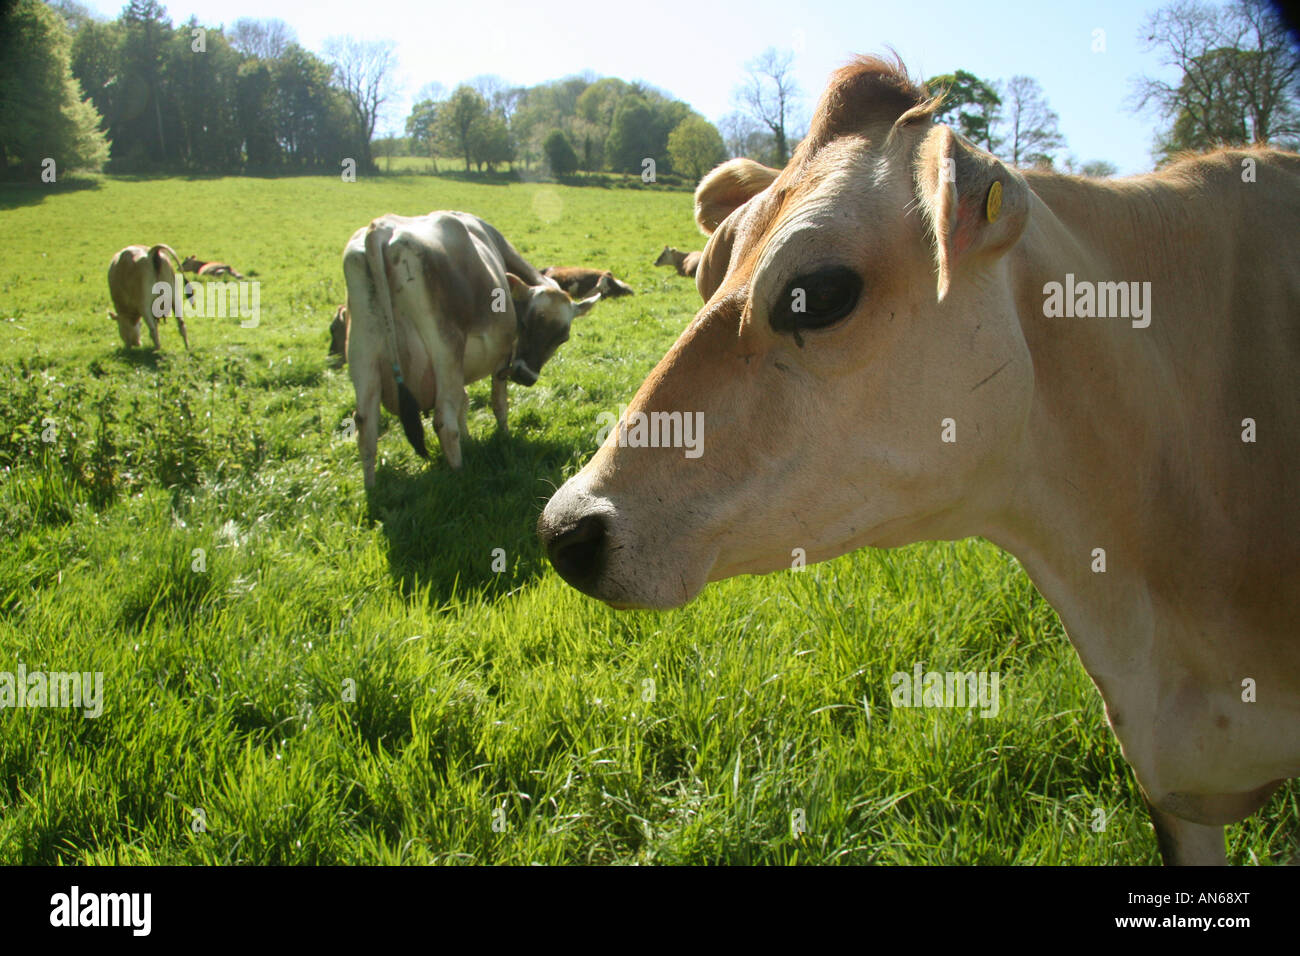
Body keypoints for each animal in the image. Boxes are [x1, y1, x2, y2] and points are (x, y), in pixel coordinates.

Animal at [338, 210, 595, 486]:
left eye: (562, 338)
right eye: (525, 323)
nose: (525, 376)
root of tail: (381, 228)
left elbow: (464, 400)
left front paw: (469, 439)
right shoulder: (502, 357)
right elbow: (498, 403)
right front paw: (504, 436)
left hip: (364, 352)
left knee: (366, 425)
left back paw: (372, 487)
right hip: (446, 348)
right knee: (443, 421)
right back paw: (460, 475)